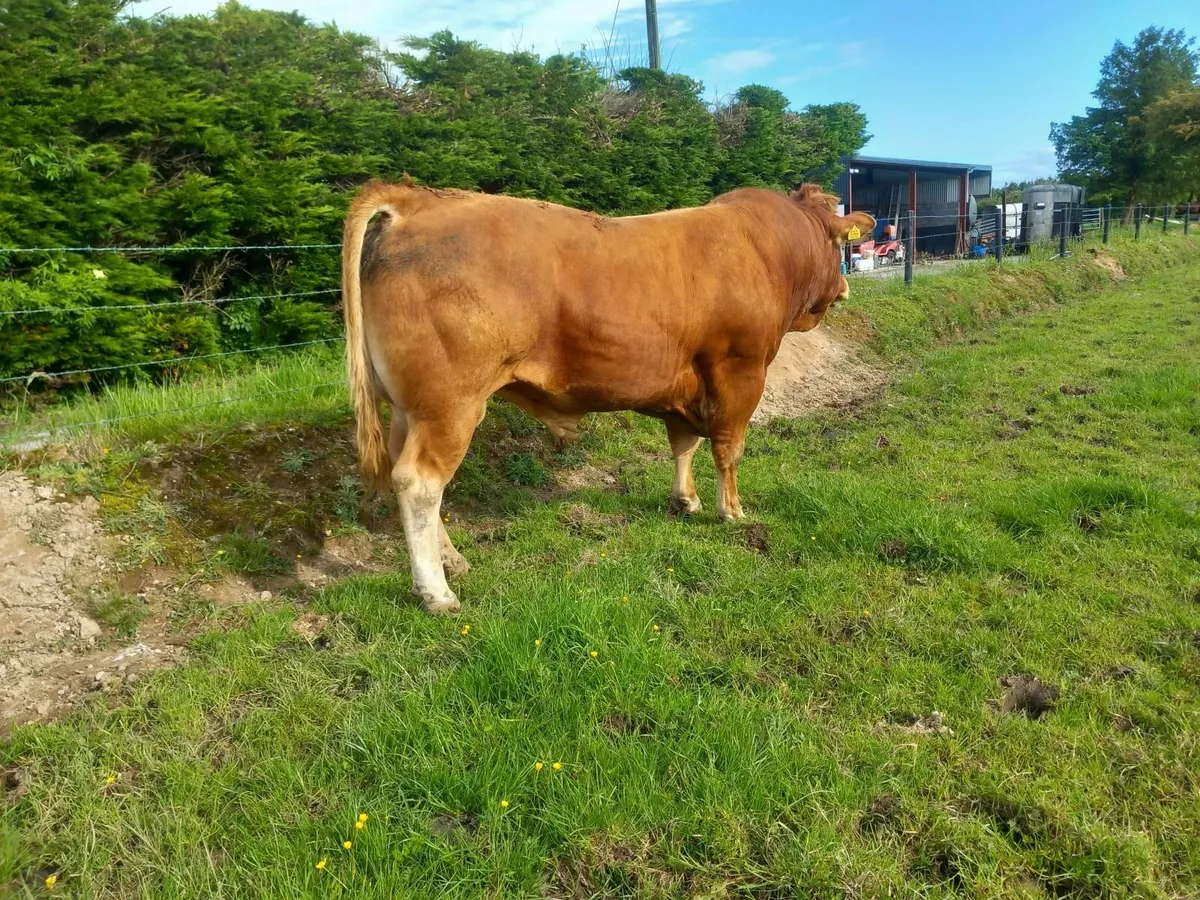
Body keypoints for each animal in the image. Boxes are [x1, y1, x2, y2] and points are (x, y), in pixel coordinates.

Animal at [341, 177, 874, 614]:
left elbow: (684, 444)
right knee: (419, 482)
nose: (846, 286)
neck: (765, 249)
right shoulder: (738, 370)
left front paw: (686, 501)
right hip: (450, 404)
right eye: (837, 244)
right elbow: (728, 446)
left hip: (409, 409)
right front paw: (733, 512)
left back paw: (452, 560)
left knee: (406, 472)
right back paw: (437, 592)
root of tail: (418, 199)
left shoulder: (682, 384)